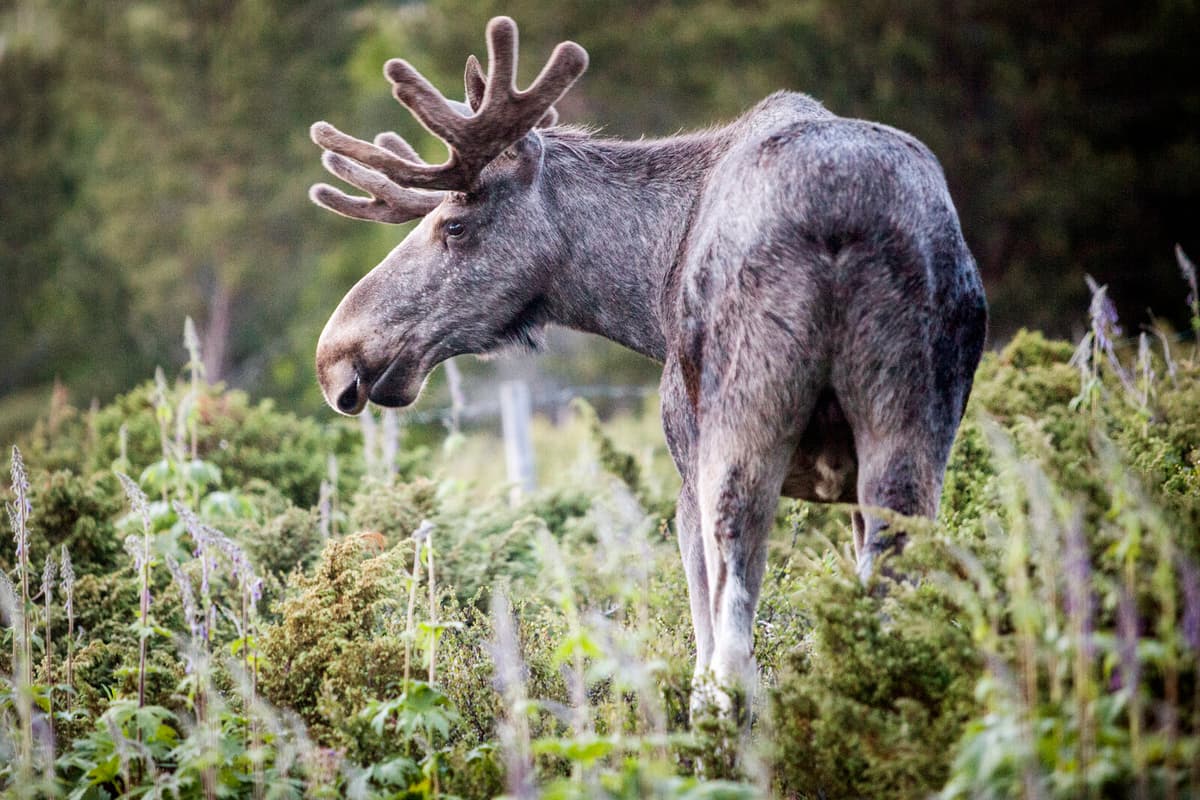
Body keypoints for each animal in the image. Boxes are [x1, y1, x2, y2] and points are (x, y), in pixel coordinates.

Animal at [310, 17, 987, 713]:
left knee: (730, 659)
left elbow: (703, 643)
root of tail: (843, 215)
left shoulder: (685, 466)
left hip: (738, 434)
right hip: (909, 438)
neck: (647, 294)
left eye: (455, 225)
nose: (336, 357)